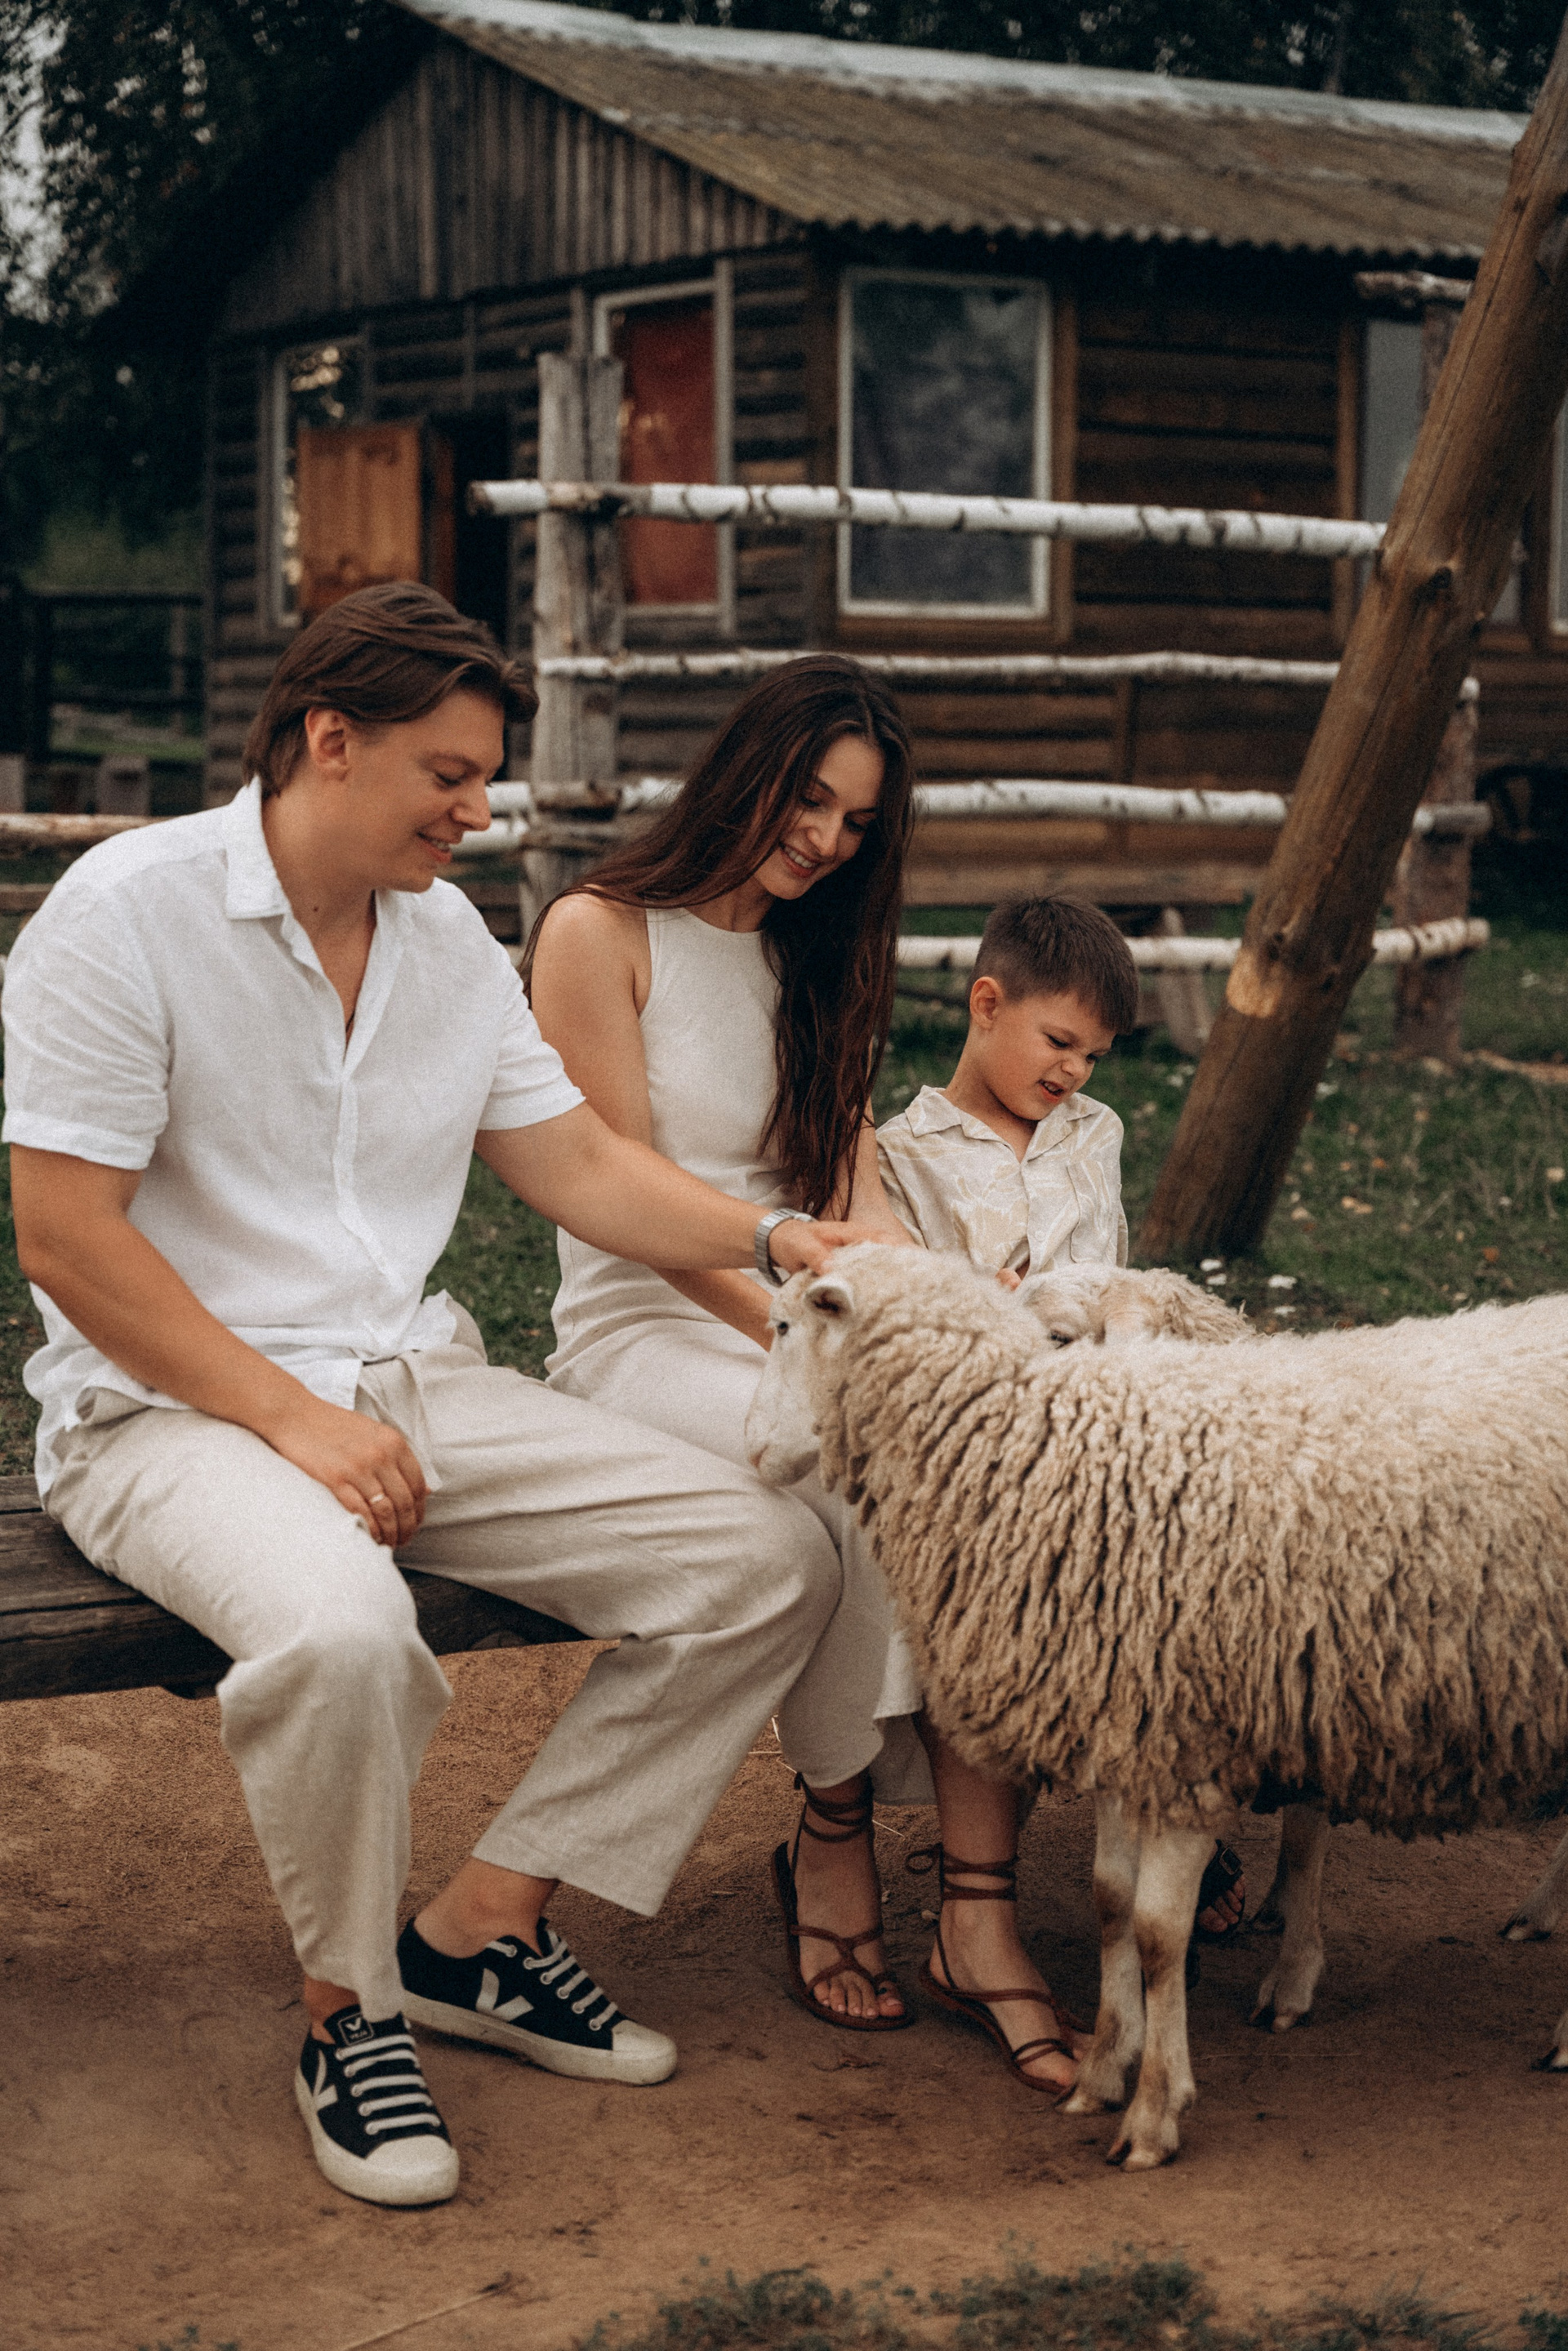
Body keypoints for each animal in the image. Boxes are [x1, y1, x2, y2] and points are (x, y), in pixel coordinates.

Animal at [745, 1246, 1568, 2167]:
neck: (1067, 1440)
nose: (751, 1448)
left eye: (785, 1325)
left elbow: (1158, 1931)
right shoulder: (1127, 1729)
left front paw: (1153, 2112)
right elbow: (1111, 1902)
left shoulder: (1184, 1746)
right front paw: (1102, 2071)